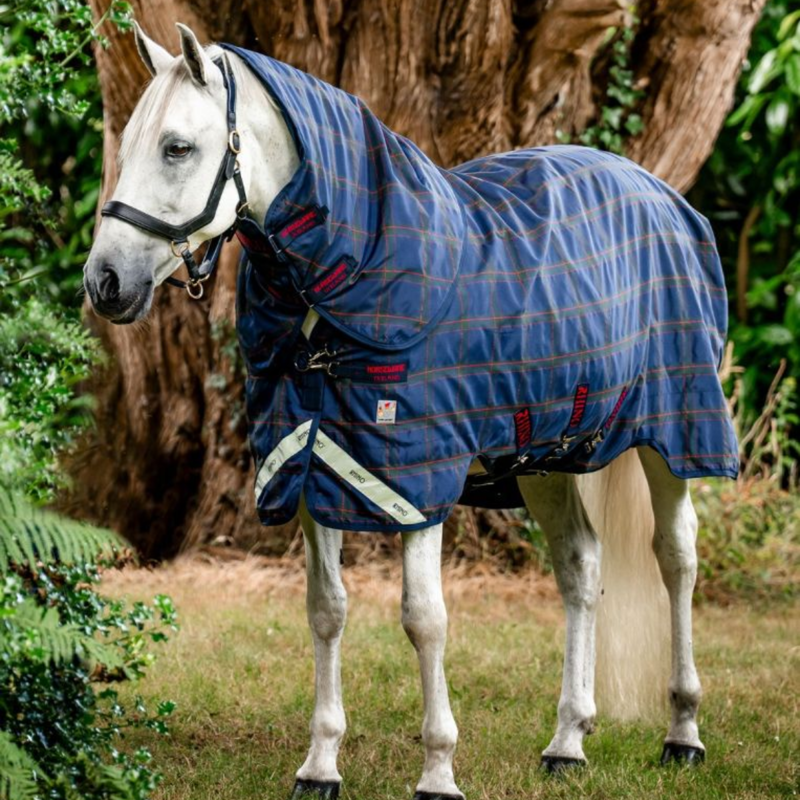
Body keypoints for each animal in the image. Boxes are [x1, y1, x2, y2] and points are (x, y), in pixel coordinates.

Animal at [85, 22, 738, 800]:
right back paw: (567, 741)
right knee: (580, 566)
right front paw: (320, 765)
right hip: (545, 455)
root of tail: (664, 196)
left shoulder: (413, 481)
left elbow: (424, 620)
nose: (105, 281)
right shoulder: (310, 463)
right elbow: (326, 610)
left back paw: (684, 732)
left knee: (677, 557)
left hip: (673, 432)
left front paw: (437, 771)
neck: (347, 287)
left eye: (178, 147)